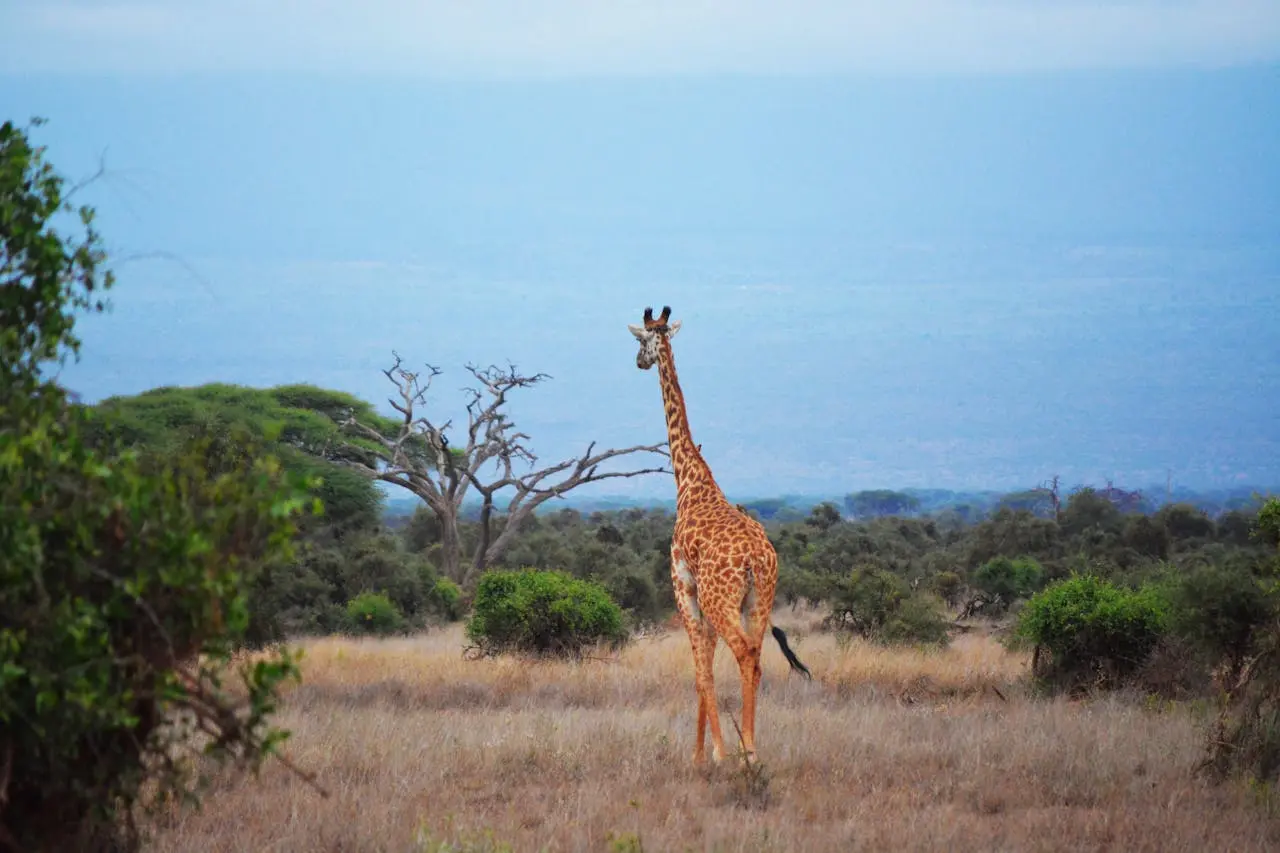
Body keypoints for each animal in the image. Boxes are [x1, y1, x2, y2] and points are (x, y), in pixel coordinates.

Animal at [627, 302, 808, 758]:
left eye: (641, 339)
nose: (638, 362)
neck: (691, 481)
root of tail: (755, 559)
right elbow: (705, 667)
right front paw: (705, 752)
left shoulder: (684, 587)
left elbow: (700, 672)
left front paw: (707, 755)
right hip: (758, 600)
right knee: (757, 657)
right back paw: (751, 749)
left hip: (721, 599)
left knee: (743, 653)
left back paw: (744, 753)